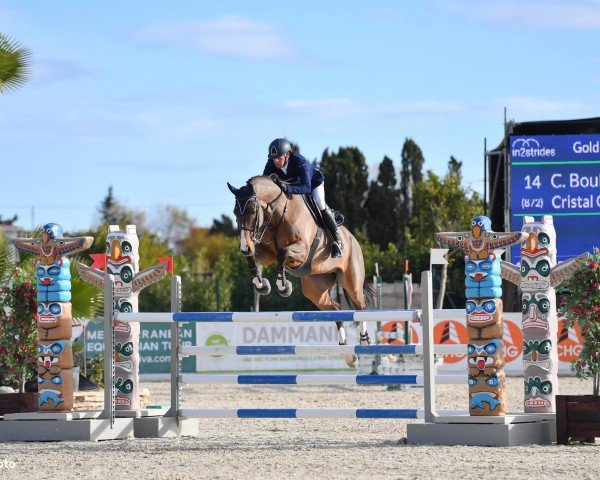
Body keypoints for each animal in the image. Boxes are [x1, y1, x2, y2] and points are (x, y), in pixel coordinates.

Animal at [227, 176, 372, 368]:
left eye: (251, 210)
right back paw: (348, 354)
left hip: (351, 281)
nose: (244, 247)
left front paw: (283, 286)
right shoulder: (265, 252)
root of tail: (353, 238)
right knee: (335, 309)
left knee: (360, 305)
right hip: (315, 289)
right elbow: (256, 258)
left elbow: (282, 254)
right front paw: (261, 285)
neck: (277, 214)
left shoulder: (300, 251)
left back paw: (365, 340)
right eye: (235, 212)